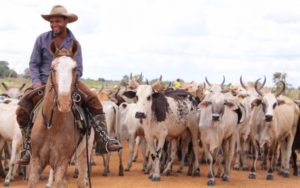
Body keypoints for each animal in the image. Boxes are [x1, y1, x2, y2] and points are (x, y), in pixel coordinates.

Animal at [27, 41, 88, 188]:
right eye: (52, 68)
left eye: (74, 69)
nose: (64, 103)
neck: (51, 125)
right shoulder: (36, 160)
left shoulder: (61, 162)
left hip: (82, 154)